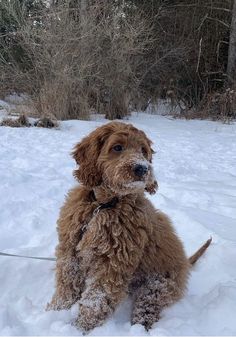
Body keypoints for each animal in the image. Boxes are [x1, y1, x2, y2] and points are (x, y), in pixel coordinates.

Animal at [47, 121, 211, 330]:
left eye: (143, 150)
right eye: (117, 147)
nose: (142, 169)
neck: (104, 205)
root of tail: (186, 263)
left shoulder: (113, 261)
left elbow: (97, 299)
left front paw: (80, 327)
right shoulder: (70, 249)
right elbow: (67, 284)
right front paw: (56, 312)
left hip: (158, 284)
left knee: (148, 306)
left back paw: (140, 327)